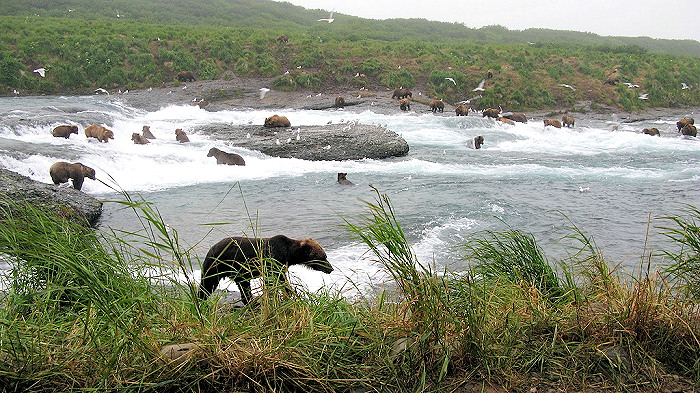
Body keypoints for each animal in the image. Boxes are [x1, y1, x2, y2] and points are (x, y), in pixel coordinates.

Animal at [200, 233, 334, 304]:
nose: (331, 268)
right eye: (323, 257)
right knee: (207, 283)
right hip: (218, 265)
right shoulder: (273, 261)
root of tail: (210, 249)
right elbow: (277, 281)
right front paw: (288, 293)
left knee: (243, 285)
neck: (289, 254)